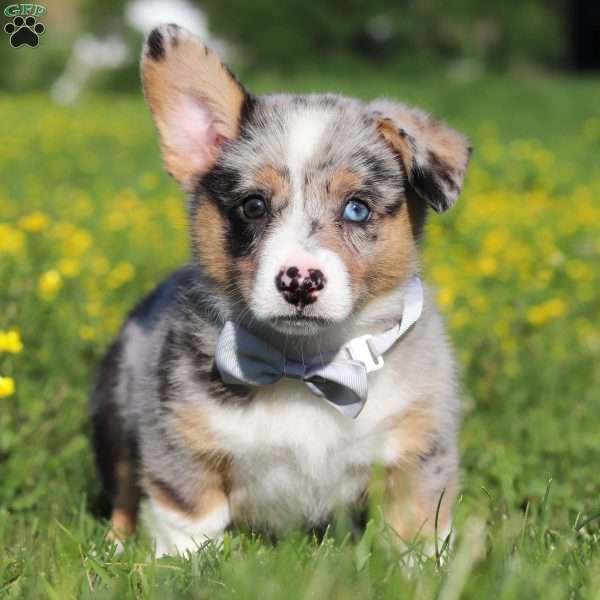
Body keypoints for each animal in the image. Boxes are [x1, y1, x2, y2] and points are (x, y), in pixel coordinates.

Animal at [91, 23, 472, 556]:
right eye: (252, 205)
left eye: (357, 208)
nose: (300, 281)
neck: (307, 363)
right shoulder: (179, 447)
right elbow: (190, 522)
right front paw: (182, 567)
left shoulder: (418, 451)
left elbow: (416, 532)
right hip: (115, 416)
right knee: (125, 493)